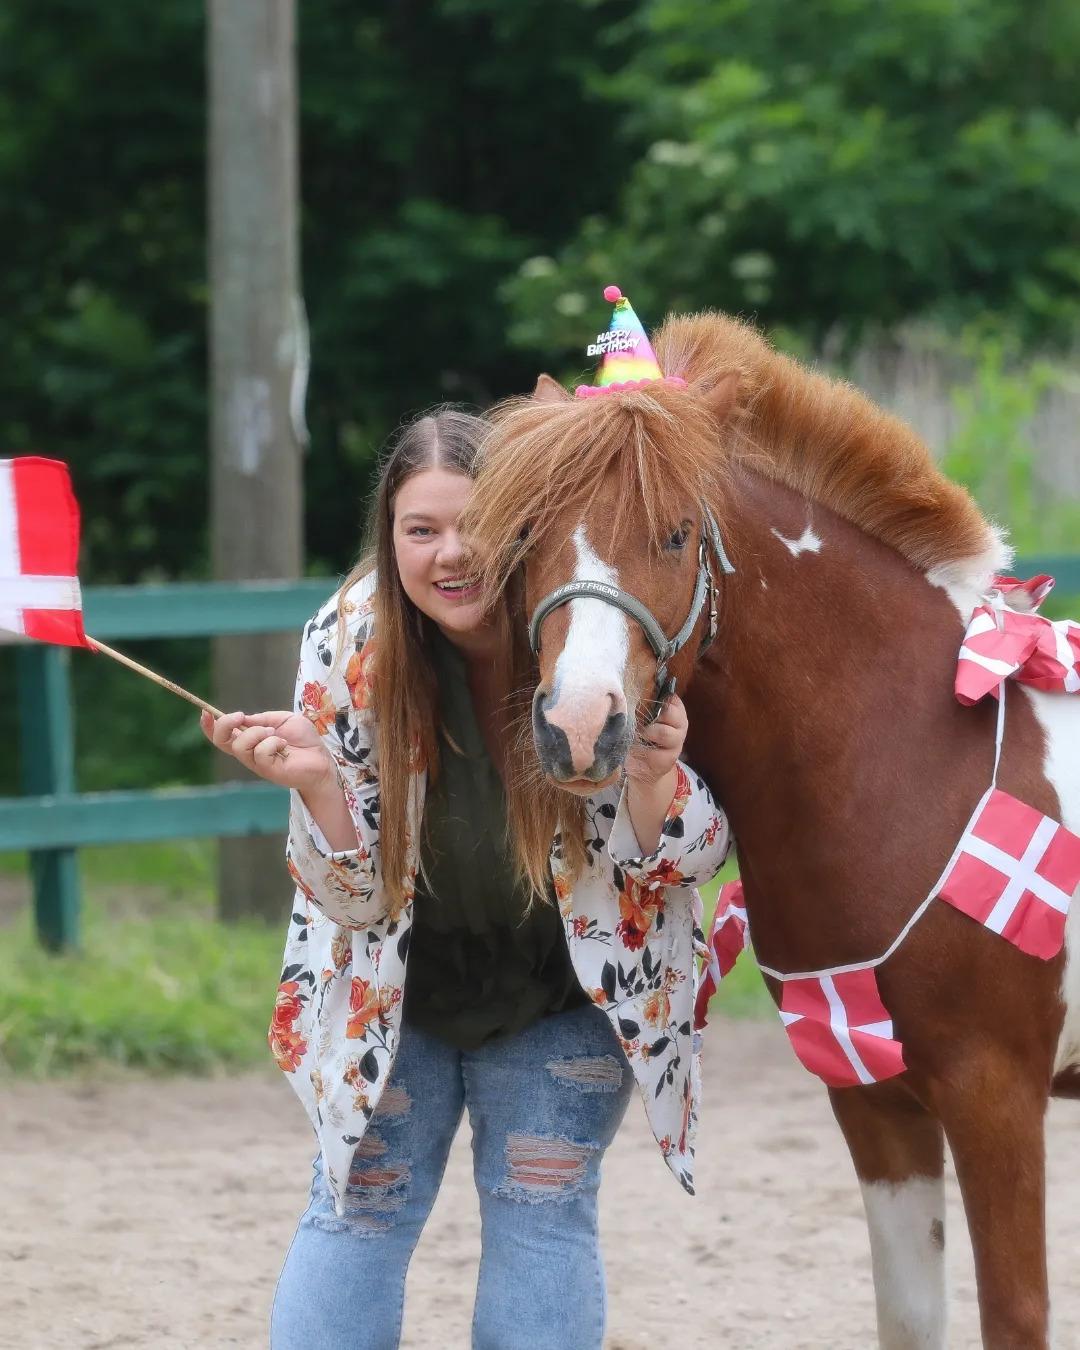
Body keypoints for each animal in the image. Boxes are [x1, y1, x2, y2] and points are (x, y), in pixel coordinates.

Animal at [467, 310, 1080, 1350]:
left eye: (676, 533)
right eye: (531, 534)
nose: (579, 727)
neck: (915, 764)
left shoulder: (996, 1094)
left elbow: (1016, 1314)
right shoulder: (875, 1103)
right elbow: (909, 1317)